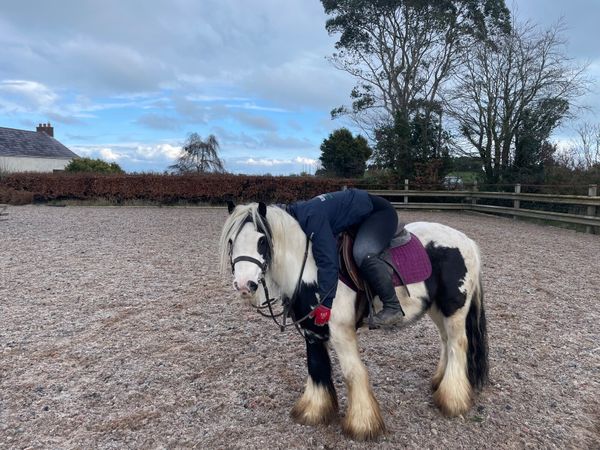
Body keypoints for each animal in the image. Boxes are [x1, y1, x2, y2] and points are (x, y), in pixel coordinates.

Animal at [218, 202, 490, 442]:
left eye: (262, 241)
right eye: (231, 242)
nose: (243, 285)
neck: (312, 269)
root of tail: (467, 242)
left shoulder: (341, 332)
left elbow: (353, 373)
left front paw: (362, 424)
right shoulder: (312, 332)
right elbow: (316, 367)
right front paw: (314, 410)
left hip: (454, 309)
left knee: (458, 345)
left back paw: (452, 399)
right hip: (437, 308)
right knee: (446, 341)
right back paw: (439, 382)